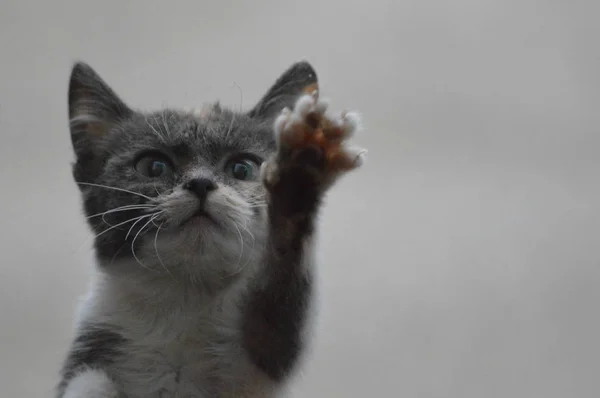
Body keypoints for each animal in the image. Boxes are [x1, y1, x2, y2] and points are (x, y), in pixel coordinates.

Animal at [57, 59, 366, 398]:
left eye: (243, 168)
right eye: (154, 166)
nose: (201, 183)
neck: (185, 295)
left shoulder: (258, 360)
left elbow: (278, 322)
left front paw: (300, 172)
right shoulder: (97, 337)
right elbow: (90, 382)